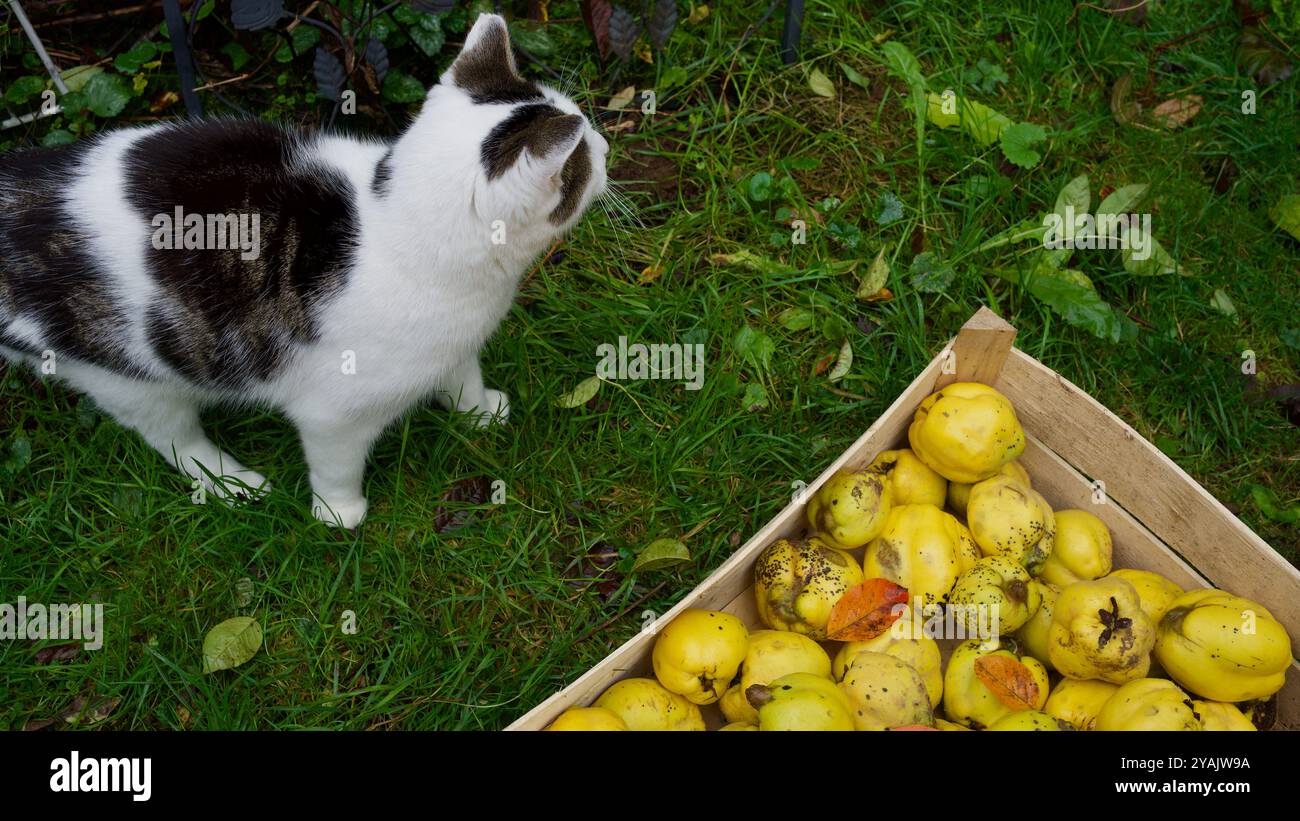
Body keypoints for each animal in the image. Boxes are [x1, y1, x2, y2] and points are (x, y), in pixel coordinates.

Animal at [0, 16, 608, 530]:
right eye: (581, 159)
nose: (605, 143)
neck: (392, 227)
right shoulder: (331, 413)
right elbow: (335, 464)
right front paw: (339, 515)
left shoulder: (452, 344)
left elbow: (462, 376)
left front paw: (480, 412)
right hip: (129, 371)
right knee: (172, 439)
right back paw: (232, 483)